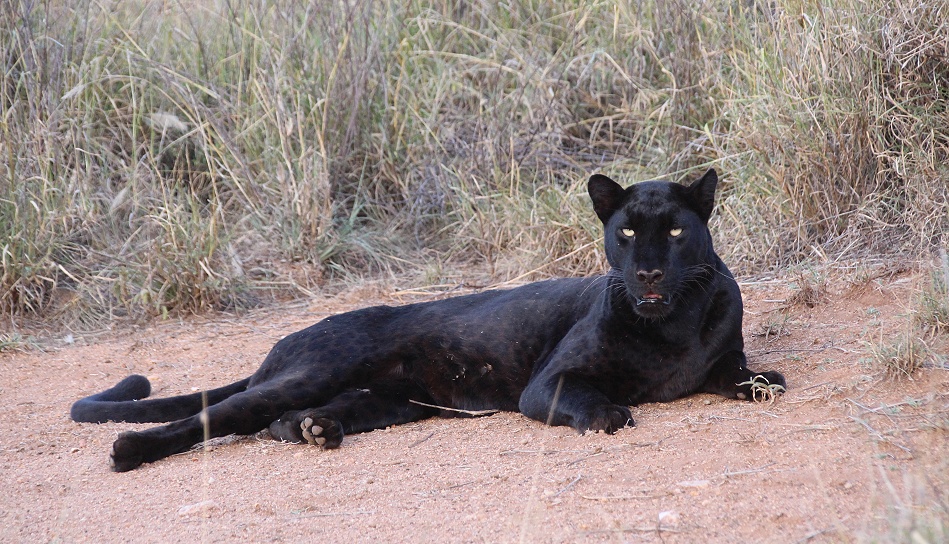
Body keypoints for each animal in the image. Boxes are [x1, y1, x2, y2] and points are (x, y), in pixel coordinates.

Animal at [71, 168, 786, 472]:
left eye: (675, 231)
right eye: (627, 233)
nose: (649, 273)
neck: (668, 326)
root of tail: (287, 339)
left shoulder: (721, 358)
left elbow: (745, 376)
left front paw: (763, 383)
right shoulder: (548, 383)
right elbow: (588, 399)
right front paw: (610, 414)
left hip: (388, 400)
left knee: (285, 419)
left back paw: (314, 432)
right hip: (315, 370)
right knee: (215, 414)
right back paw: (129, 452)